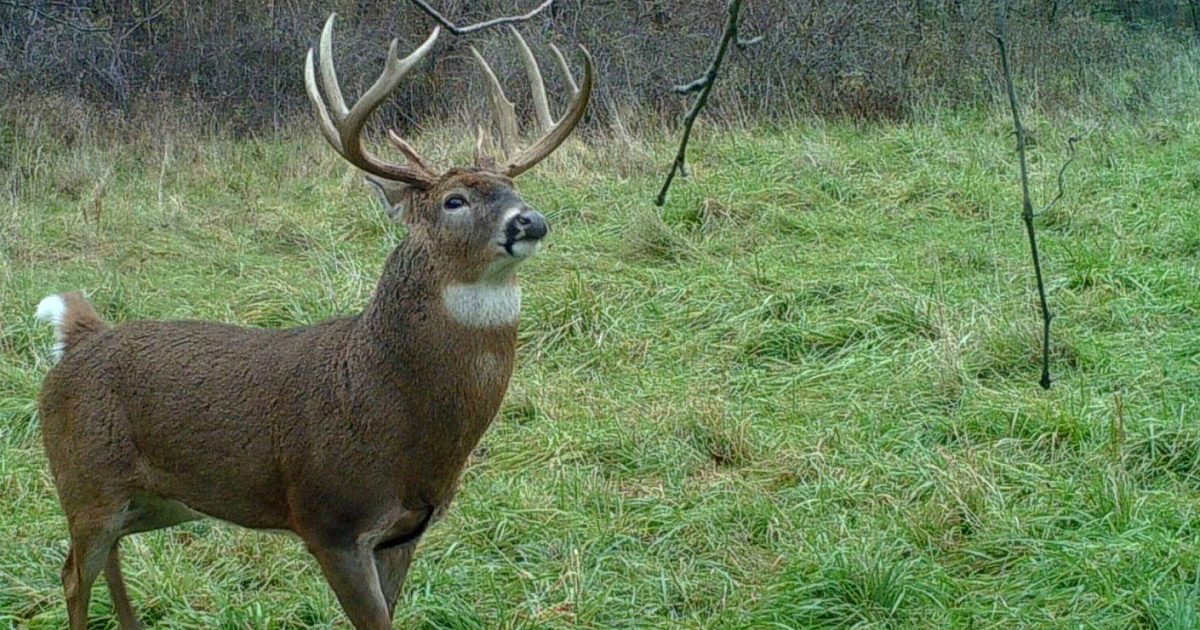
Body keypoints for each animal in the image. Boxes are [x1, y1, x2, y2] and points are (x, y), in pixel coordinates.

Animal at [33, 13, 592, 630]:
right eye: (454, 200)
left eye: (513, 187)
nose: (530, 220)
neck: (397, 410)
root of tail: (79, 341)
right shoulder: (331, 521)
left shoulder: (403, 533)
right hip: (84, 481)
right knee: (72, 574)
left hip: (155, 501)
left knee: (109, 560)